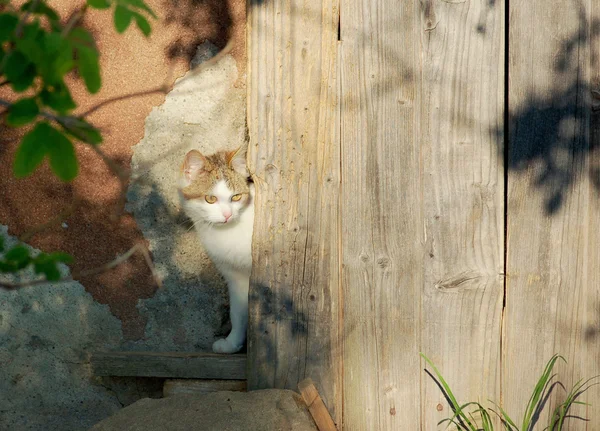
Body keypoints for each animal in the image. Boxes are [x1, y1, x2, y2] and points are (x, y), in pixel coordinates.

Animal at [178, 145, 253, 354]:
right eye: (210, 199)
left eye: (236, 197)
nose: (227, 215)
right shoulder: (235, 275)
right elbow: (238, 311)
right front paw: (232, 342)